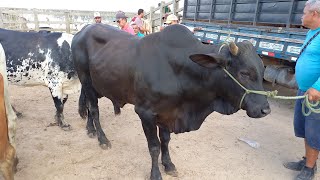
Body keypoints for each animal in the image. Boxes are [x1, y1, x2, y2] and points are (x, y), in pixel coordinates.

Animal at [72, 24, 270, 180]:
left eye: (262, 72)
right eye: (244, 73)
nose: (265, 110)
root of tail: (81, 31)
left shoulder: (168, 112)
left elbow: (165, 141)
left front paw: (168, 165)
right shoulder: (145, 112)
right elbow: (154, 146)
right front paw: (155, 174)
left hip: (93, 85)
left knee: (88, 106)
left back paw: (90, 129)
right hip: (86, 79)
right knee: (94, 109)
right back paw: (102, 139)